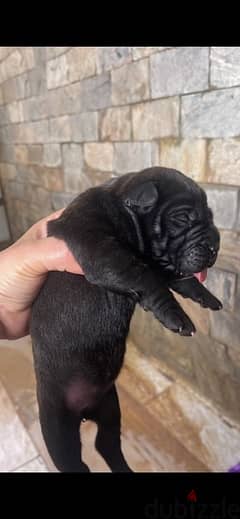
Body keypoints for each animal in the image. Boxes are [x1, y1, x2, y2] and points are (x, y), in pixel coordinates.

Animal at [30, 169, 223, 474]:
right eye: (182, 218)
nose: (216, 245)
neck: (122, 210)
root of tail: (85, 412)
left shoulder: (156, 263)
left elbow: (180, 279)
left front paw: (206, 296)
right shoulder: (102, 250)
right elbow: (148, 280)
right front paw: (177, 317)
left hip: (110, 408)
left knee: (107, 445)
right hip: (57, 426)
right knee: (74, 460)